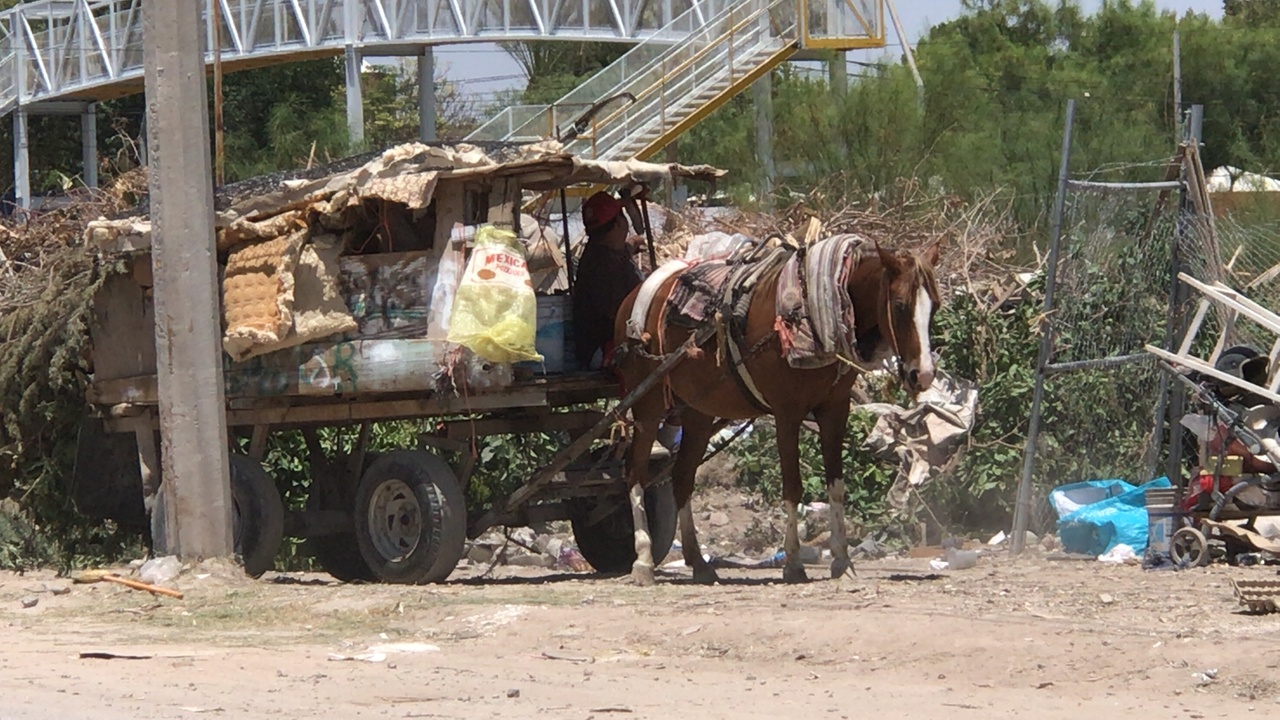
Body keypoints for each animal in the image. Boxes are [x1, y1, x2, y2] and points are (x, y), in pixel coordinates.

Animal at [609, 235, 942, 584]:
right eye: (900, 306)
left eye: (935, 306)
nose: (923, 374)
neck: (813, 308)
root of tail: (635, 295)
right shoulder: (787, 412)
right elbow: (793, 486)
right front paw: (793, 562)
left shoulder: (835, 410)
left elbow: (836, 485)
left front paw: (841, 559)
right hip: (647, 406)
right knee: (635, 473)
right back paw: (643, 560)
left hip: (699, 411)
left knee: (682, 477)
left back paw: (698, 562)